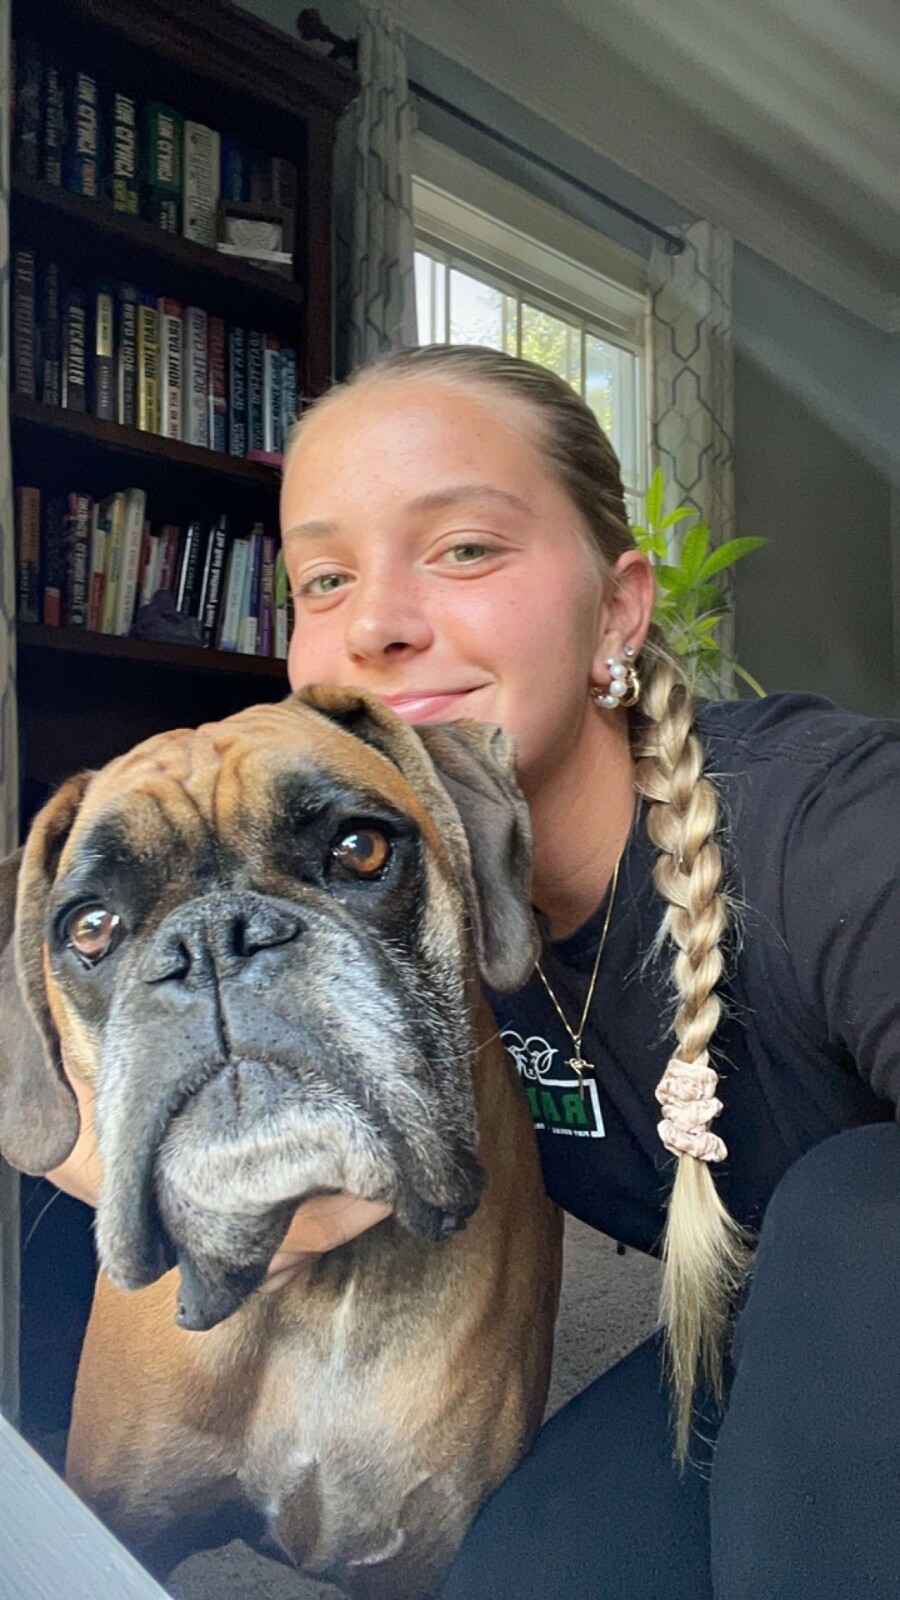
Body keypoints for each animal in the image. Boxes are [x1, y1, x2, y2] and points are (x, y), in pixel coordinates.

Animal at [0, 686, 562, 1598]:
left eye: (361, 849)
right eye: (89, 927)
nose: (212, 941)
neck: (321, 1295)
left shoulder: (417, 1561)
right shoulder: (124, 1518)